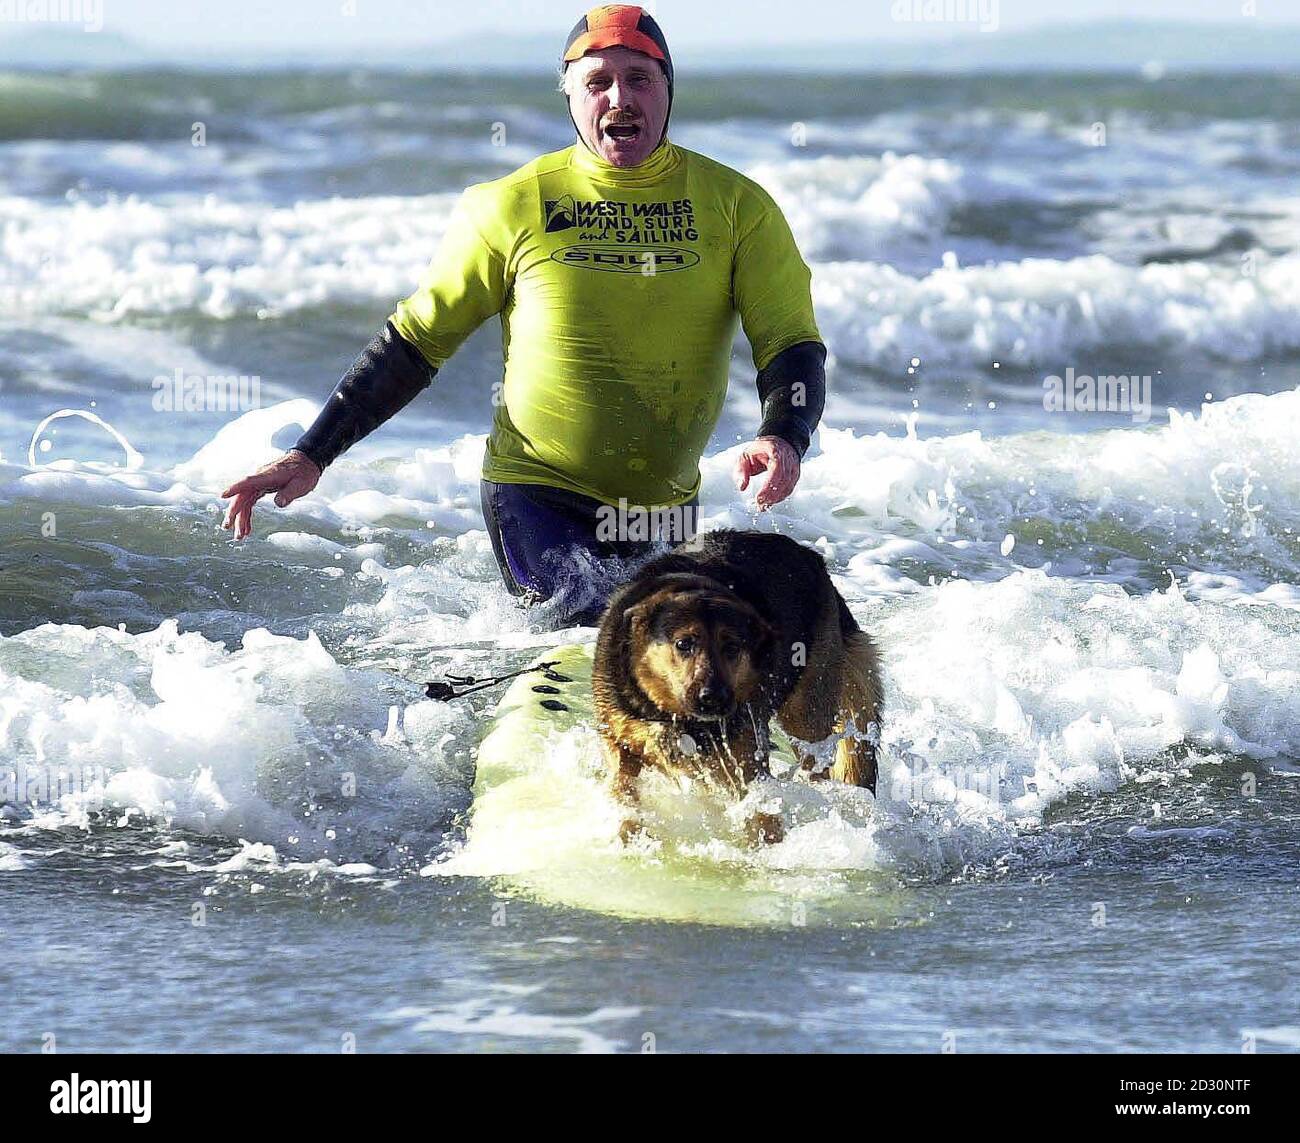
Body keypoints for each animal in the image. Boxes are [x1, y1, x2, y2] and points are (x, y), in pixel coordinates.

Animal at [592, 527, 883, 842]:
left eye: (732, 648)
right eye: (683, 644)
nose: (713, 698)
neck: (674, 717)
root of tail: (814, 559)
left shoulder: (743, 755)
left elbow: (758, 806)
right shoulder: (616, 734)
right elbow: (622, 782)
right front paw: (629, 826)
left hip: (807, 710)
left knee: (815, 762)